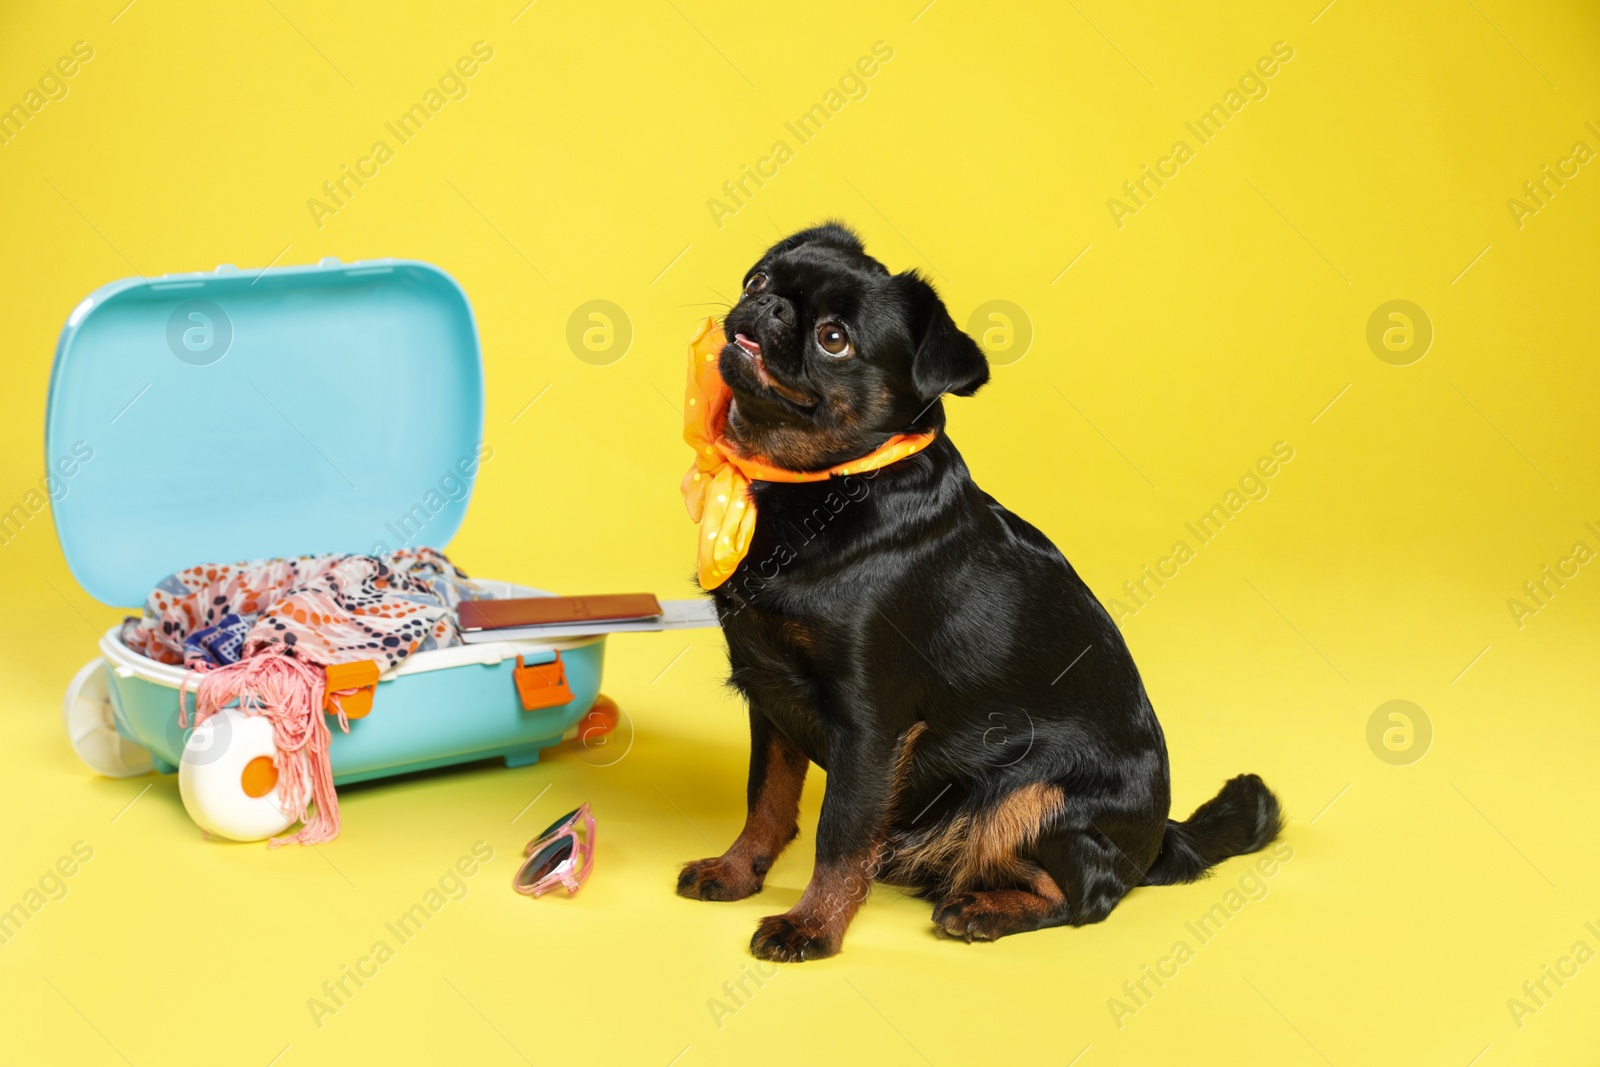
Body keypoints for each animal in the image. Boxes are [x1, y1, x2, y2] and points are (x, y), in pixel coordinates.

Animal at [678, 223, 1286, 959]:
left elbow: (840, 836)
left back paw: (987, 909)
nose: (766, 307)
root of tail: (1158, 842)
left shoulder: (869, 726)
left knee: (1086, 897)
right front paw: (737, 870)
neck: (817, 486)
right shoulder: (768, 694)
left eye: (833, 339)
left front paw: (813, 925)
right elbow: (765, 799)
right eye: (759, 281)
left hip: (1033, 795)